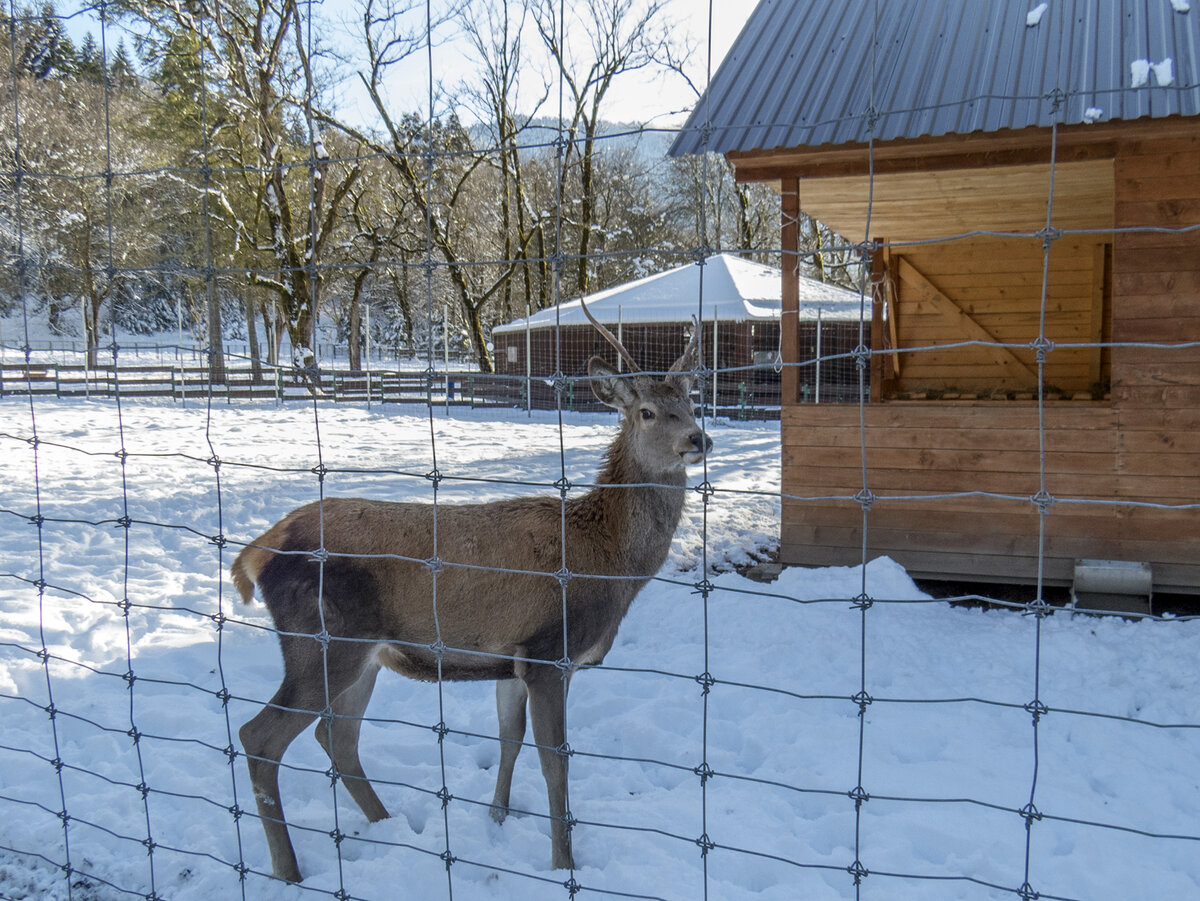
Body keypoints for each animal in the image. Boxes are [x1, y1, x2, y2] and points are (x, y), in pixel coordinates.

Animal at [234, 307, 710, 883]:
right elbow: (555, 761)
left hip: (359, 653)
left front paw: (497, 816)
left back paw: (387, 824)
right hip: (322, 640)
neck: (610, 563)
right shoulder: (551, 650)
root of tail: (255, 552)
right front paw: (563, 863)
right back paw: (291, 870)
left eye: (691, 402)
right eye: (646, 412)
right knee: (261, 737)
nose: (698, 439)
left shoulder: (513, 657)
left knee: (337, 736)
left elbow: (510, 738)